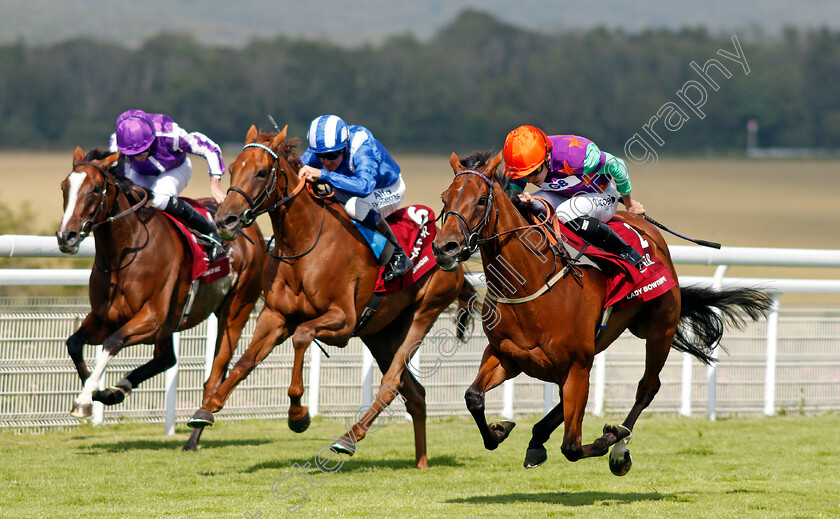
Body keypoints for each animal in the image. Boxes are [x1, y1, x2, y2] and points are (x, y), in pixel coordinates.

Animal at [57, 147, 266, 450]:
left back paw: (194, 434)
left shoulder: (151, 319)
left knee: (213, 376)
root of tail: (254, 233)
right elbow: (74, 344)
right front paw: (101, 394)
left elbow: (112, 342)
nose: (66, 237)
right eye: (64, 187)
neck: (124, 254)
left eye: (96, 189)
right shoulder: (104, 318)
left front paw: (86, 399)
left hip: (235, 311)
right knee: (166, 359)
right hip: (173, 322)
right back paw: (122, 387)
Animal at [190, 127, 476, 472]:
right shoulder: (274, 315)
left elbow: (301, 336)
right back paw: (420, 462)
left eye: (261, 172)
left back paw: (348, 439)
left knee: (393, 383)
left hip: (423, 313)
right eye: (232, 169)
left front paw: (298, 416)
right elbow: (245, 360)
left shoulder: (342, 320)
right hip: (381, 334)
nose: (225, 220)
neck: (303, 245)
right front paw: (207, 408)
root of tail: (450, 252)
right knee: (415, 393)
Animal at [436, 151, 772, 476]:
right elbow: (473, 397)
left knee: (647, 387)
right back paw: (538, 438)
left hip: (659, 328)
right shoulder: (507, 355)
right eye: (444, 199)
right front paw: (500, 429)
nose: (445, 247)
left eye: (482, 199)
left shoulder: (576, 364)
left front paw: (613, 439)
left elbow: (572, 446)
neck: (529, 282)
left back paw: (619, 443)